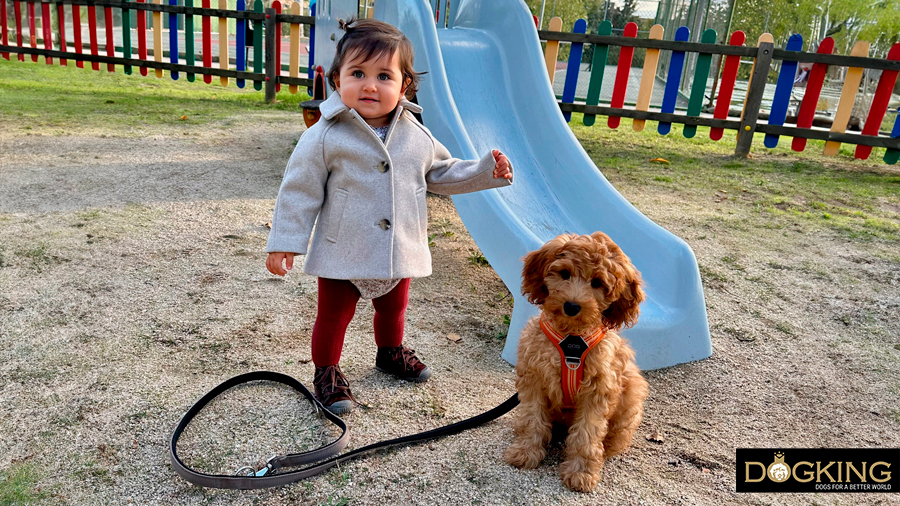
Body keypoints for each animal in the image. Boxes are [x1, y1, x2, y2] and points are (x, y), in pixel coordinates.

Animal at [506, 232, 648, 490]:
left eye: (597, 282)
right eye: (564, 273)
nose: (571, 306)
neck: (572, 339)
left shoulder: (598, 390)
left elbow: (587, 434)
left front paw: (582, 472)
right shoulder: (534, 377)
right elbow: (532, 419)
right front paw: (525, 452)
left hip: (633, 389)